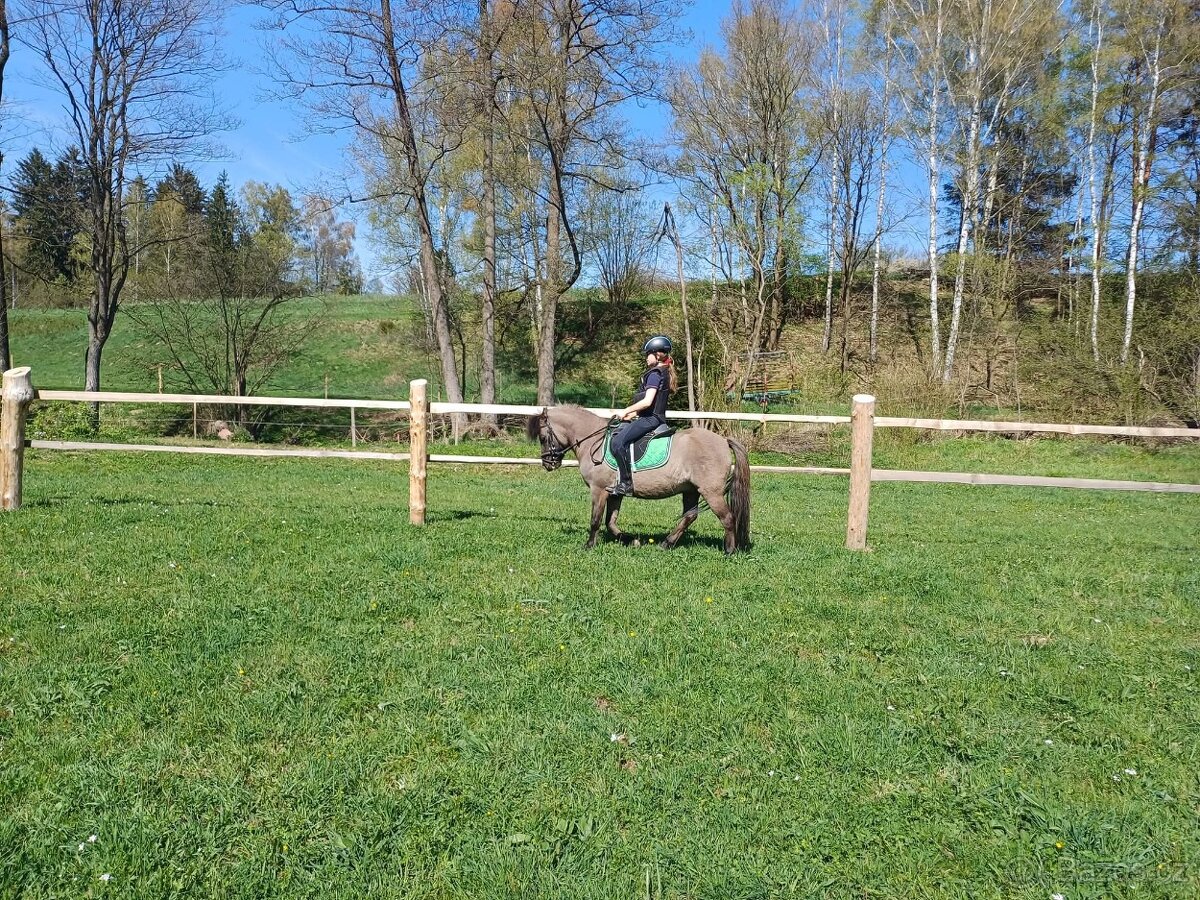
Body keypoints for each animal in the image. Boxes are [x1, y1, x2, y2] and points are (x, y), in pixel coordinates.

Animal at [527, 405, 752, 554]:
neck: (593, 441)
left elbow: (595, 520)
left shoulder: (598, 490)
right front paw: (631, 540)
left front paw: (589, 545)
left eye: (543, 437)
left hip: (711, 492)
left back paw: (729, 551)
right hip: (690, 490)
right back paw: (666, 544)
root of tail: (723, 440)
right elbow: (610, 521)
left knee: (727, 517)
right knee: (689, 516)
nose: (548, 464)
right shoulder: (614, 492)